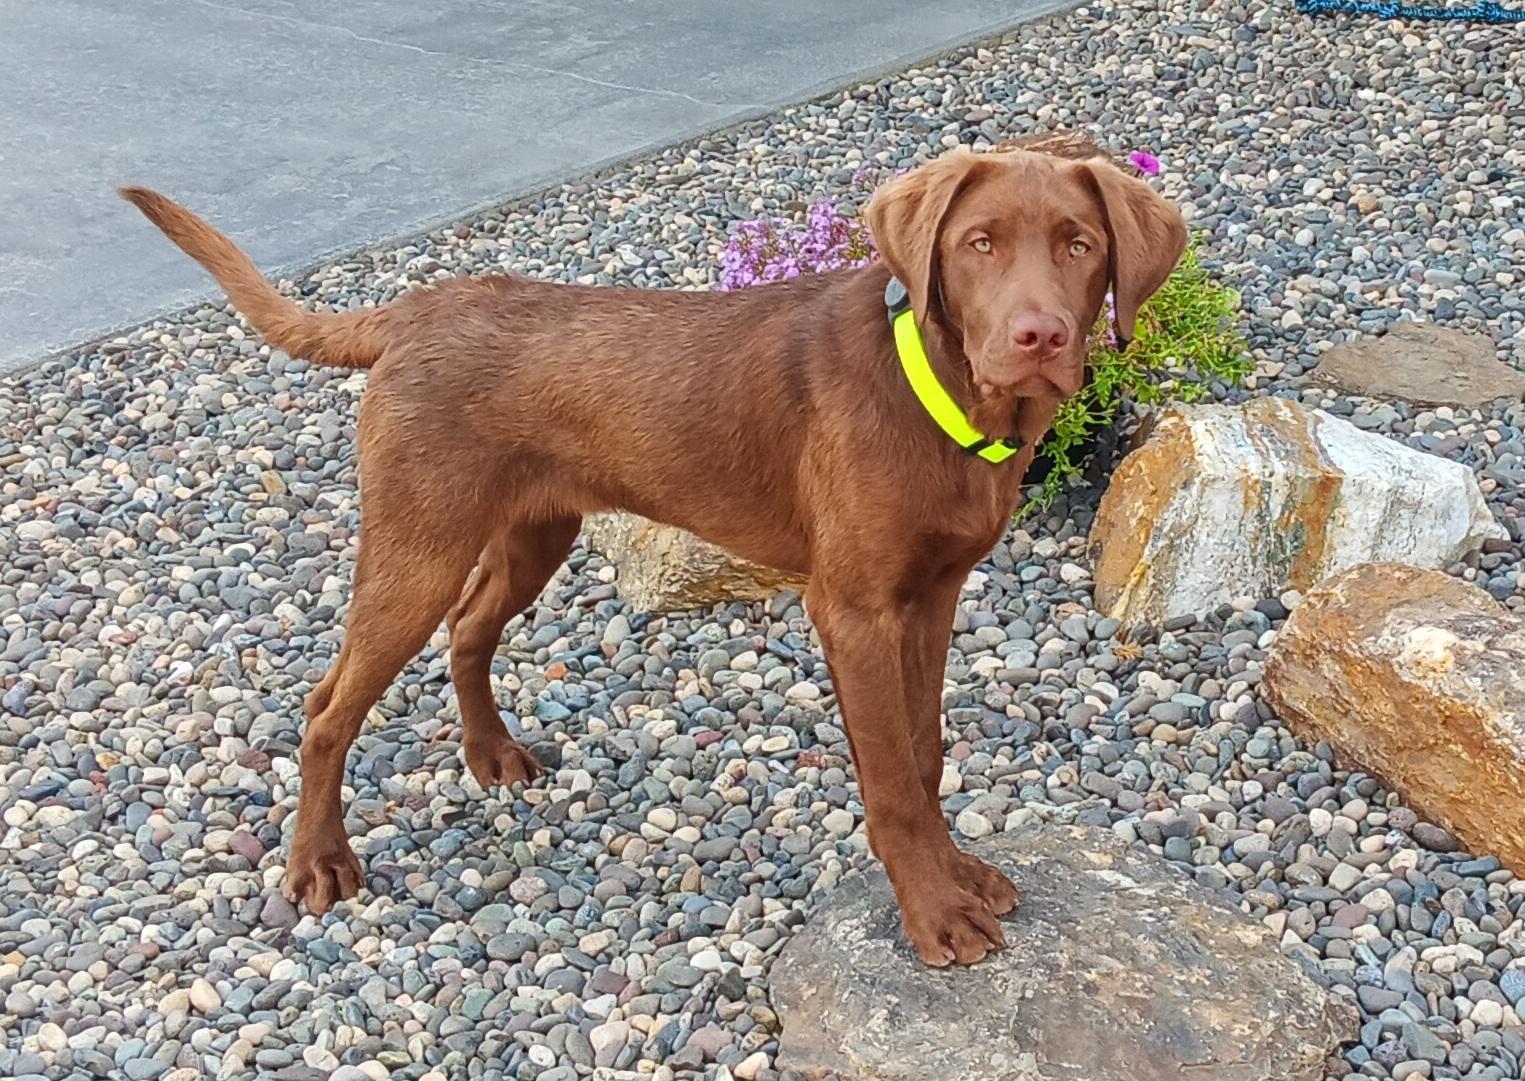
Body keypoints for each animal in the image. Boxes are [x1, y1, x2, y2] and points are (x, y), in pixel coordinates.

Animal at [125, 147, 1183, 963]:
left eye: (1080, 245)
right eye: (978, 244)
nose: (1037, 335)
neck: (939, 394)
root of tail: (415, 310)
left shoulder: (931, 595)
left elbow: (923, 757)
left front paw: (956, 873)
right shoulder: (853, 608)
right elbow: (890, 779)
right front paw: (933, 913)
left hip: (532, 531)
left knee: (469, 628)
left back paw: (490, 754)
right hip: (417, 541)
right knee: (327, 705)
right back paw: (318, 863)